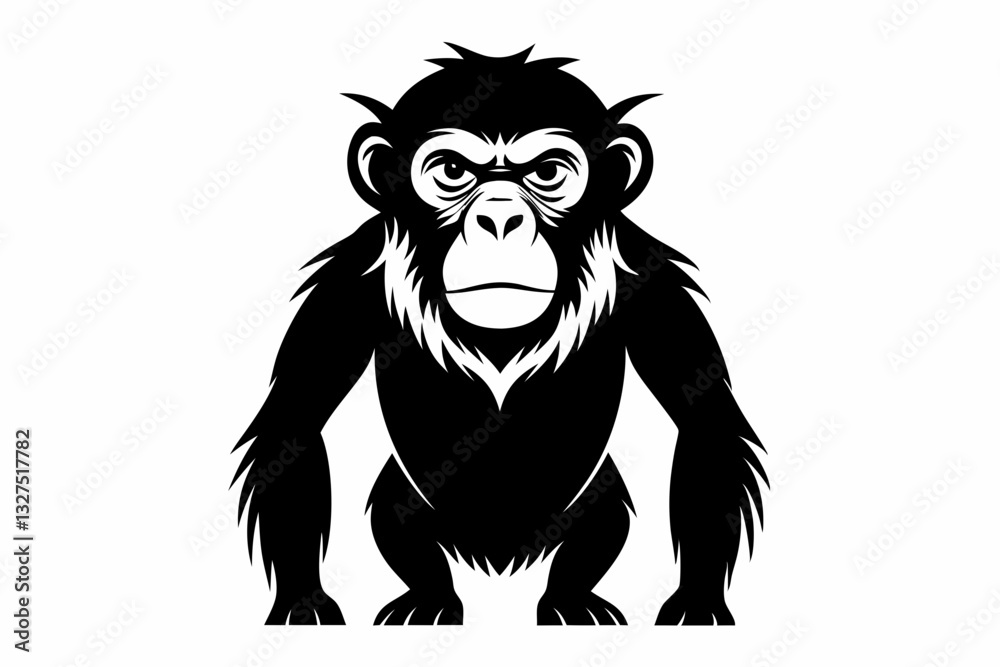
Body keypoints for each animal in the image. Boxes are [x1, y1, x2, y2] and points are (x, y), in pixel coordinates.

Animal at [231, 44, 767, 626]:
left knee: (602, 520)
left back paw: (569, 600)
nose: (500, 219)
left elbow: (702, 421)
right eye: (452, 171)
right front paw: (302, 602)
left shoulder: (652, 285)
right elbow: (298, 421)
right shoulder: (349, 283)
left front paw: (698, 602)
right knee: (398, 519)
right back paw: (431, 598)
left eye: (548, 172)